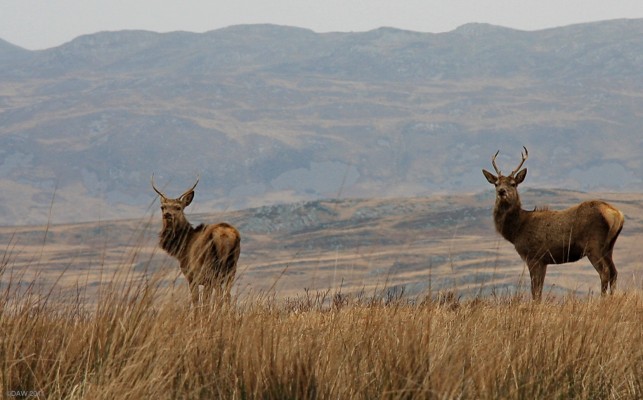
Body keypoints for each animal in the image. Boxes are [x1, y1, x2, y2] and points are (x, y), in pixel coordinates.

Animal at [152, 176, 240, 305]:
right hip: (231, 268)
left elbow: (196, 301)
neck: (182, 249)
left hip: (210, 269)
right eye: (162, 207)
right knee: (226, 295)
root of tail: (224, 235)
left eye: (178, 207)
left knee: (213, 298)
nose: (167, 215)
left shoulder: (192, 276)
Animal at [482, 147, 624, 301]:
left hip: (593, 245)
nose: (501, 191)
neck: (517, 230)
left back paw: (602, 299)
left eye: (513, 184)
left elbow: (535, 290)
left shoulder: (533, 256)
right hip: (608, 247)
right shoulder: (544, 260)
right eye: (496, 184)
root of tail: (617, 214)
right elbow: (539, 290)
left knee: (605, 272)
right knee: (614, 272)